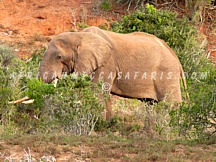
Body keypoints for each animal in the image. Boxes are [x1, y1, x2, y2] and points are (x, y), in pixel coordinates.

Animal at [38, 26, 187, 119]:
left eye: (59, 57)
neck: (79, 35)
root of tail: (176, 57)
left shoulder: (106, 63)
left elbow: (96, 92)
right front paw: (108, 124)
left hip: (167, 72)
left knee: (169, 104)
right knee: (151, 104)